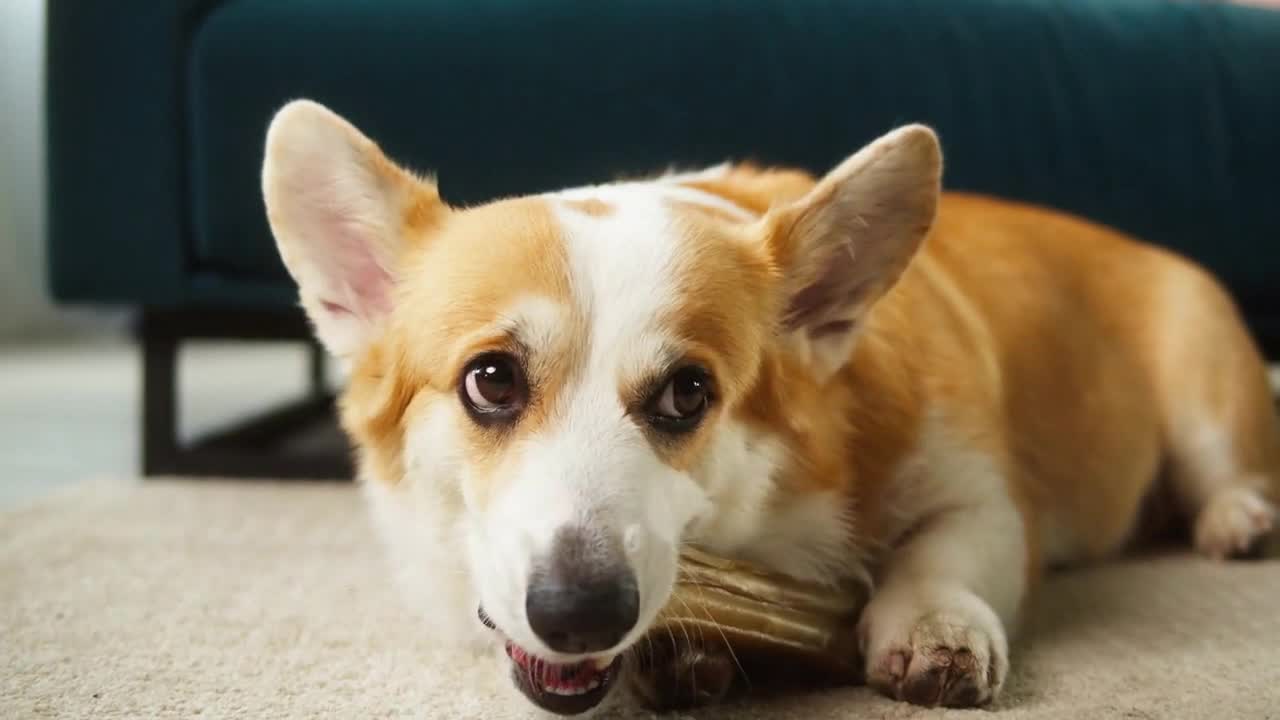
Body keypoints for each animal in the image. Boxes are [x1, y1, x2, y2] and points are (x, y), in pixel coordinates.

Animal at [262, 99, 1280, 712]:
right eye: (491, 380)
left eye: (688, 393)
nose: (581, 613)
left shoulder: (985, 498)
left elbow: (942, 555)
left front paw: (934, 631)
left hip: (1202, 395)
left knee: (1228, 467)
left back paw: (1237, 522)